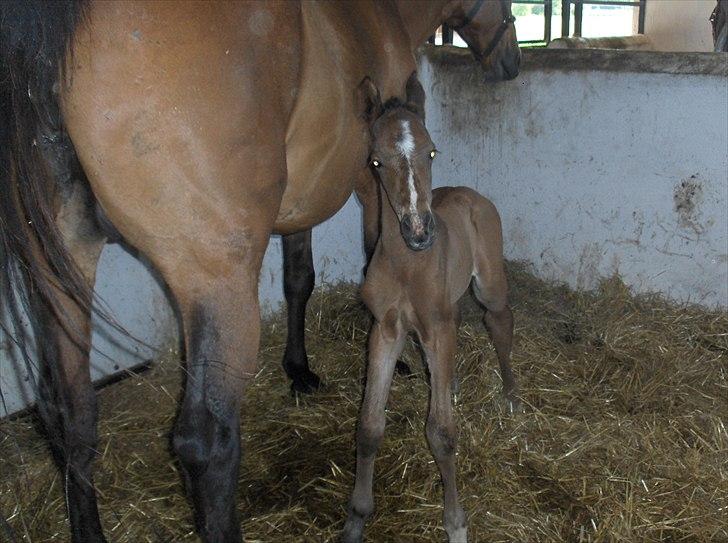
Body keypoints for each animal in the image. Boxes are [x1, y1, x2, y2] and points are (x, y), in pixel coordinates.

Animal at [342, 74, 516, 540]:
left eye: (432, 151)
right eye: (376, 161)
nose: (419, 232)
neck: (407, 266)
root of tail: (470, 193)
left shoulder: (436, 330)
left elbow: (441, 433)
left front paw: (455, 523)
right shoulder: (385, 329)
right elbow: (368, 426)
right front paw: (356, 518)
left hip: (487, 284)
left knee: (499, 321)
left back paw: (511, 393)